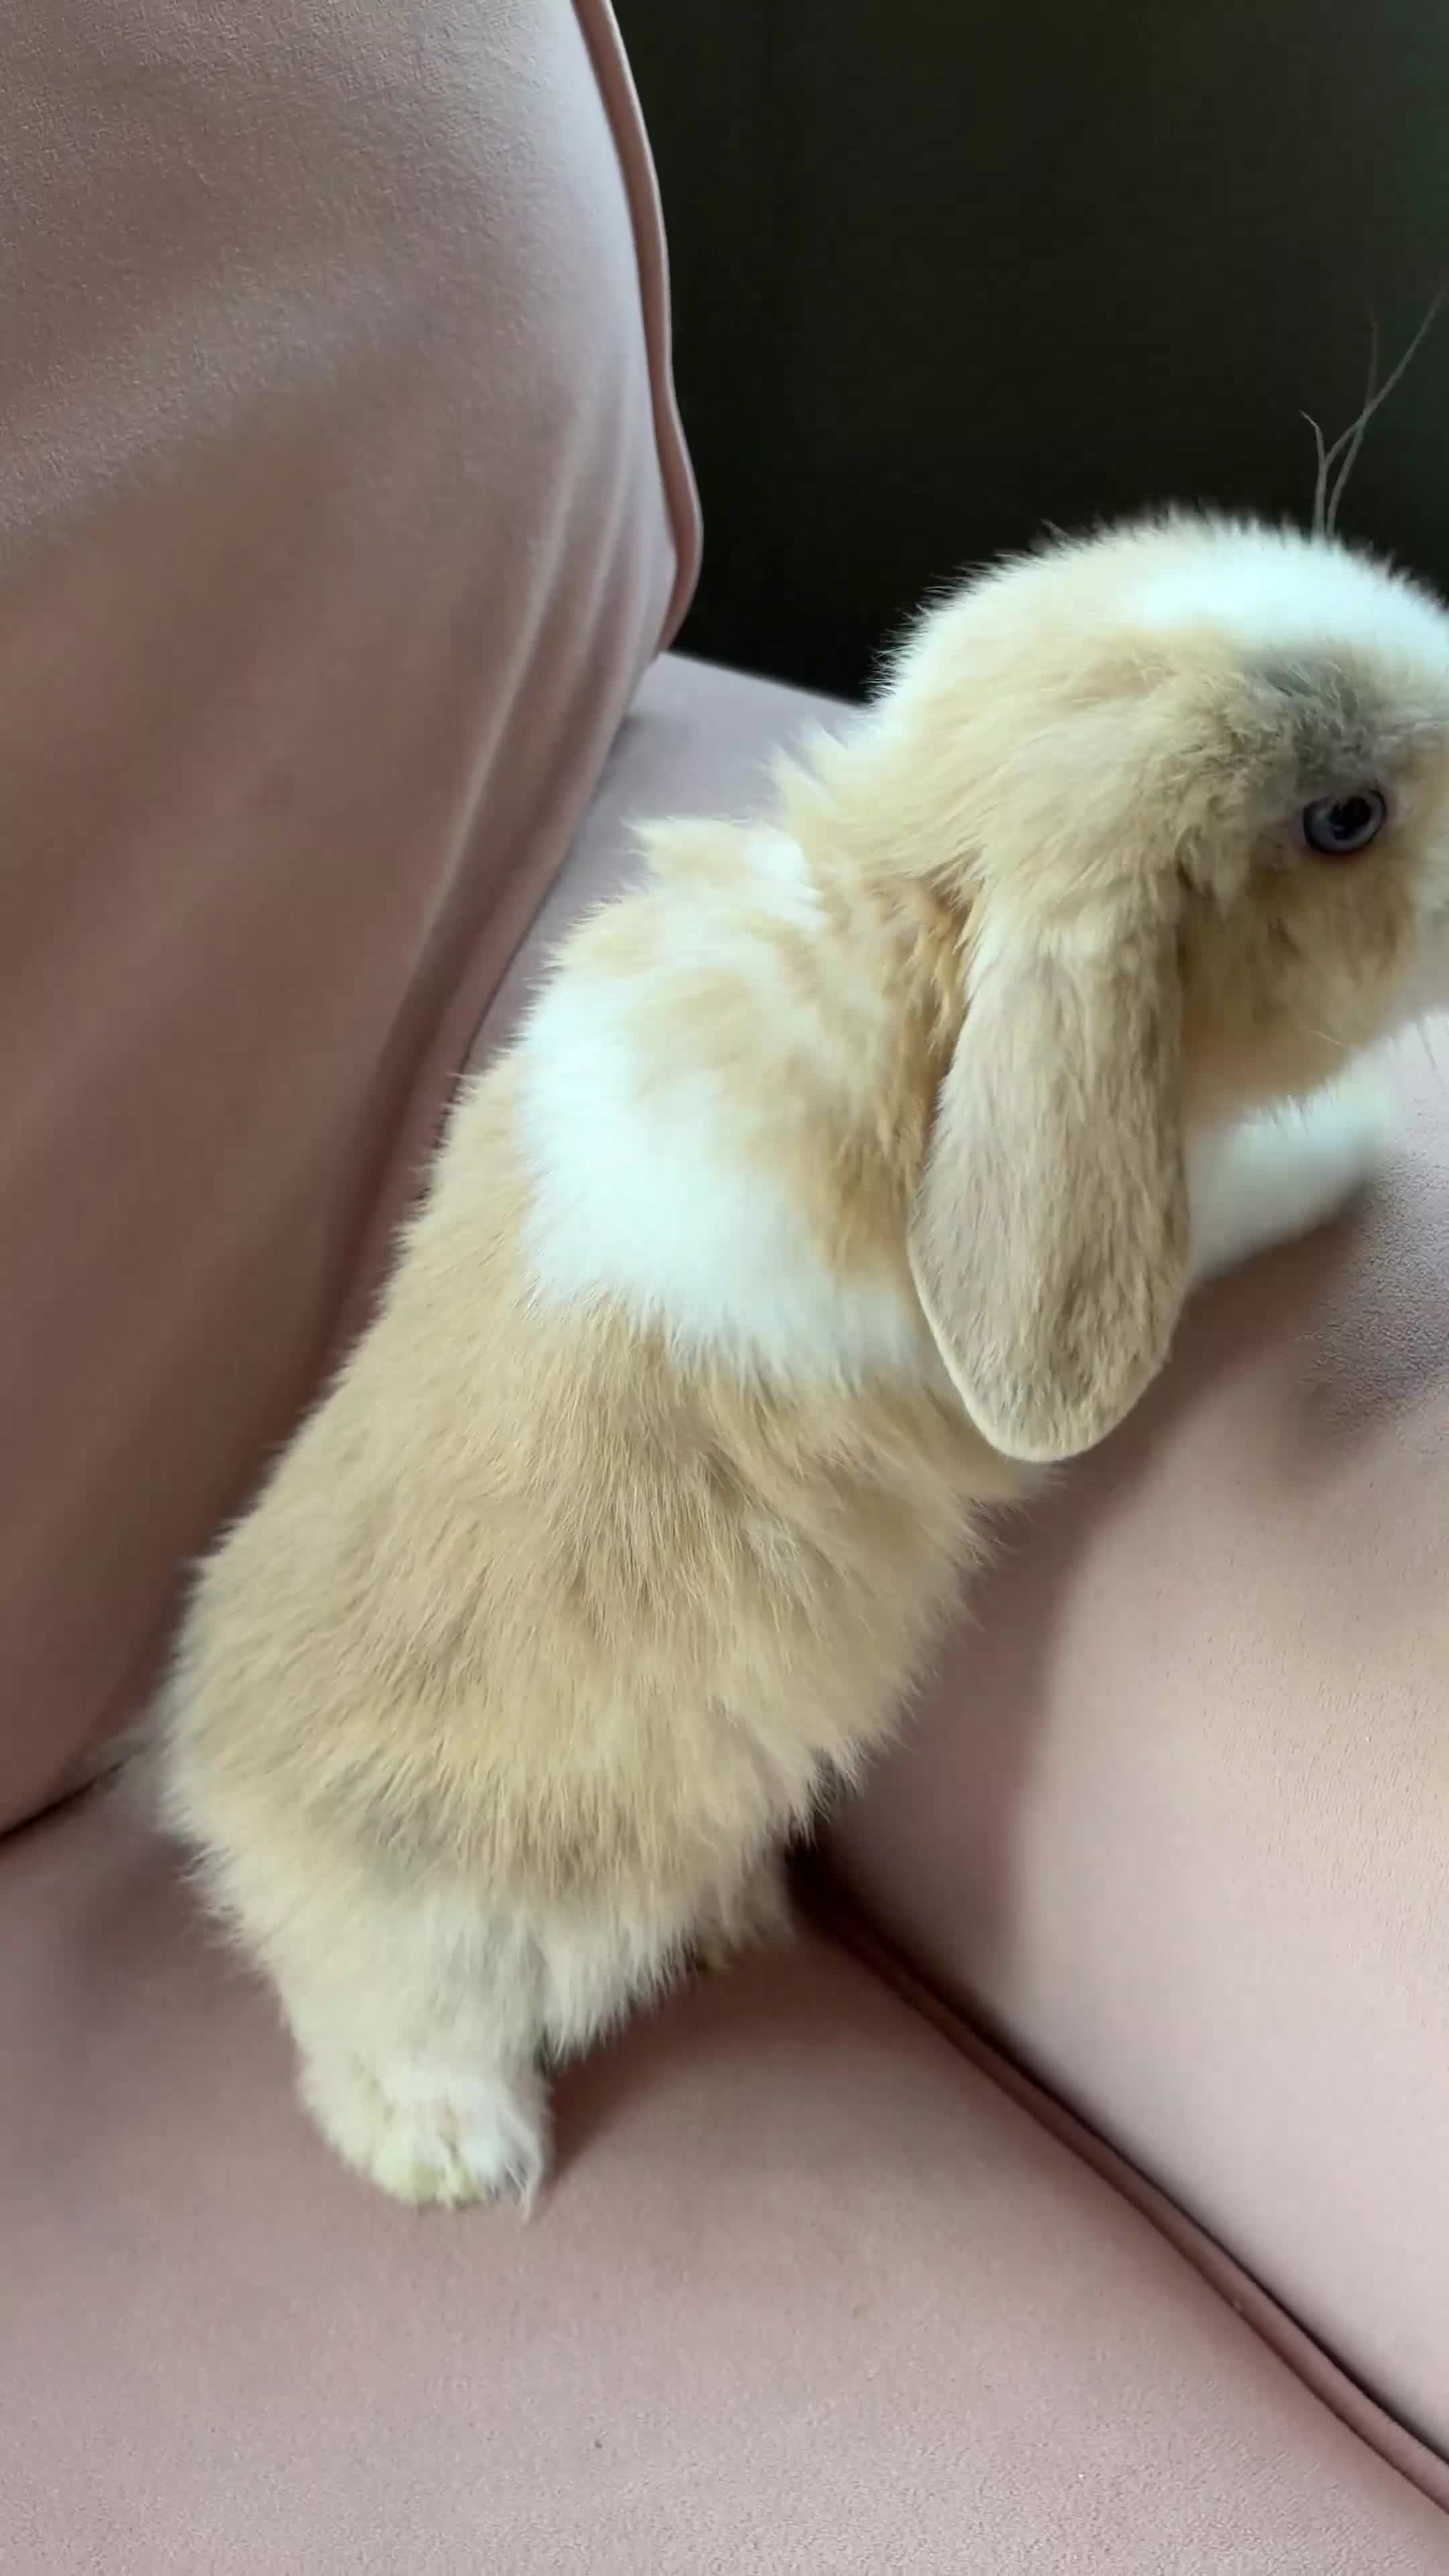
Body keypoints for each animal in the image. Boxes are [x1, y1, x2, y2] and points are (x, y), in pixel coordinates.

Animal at [158, 511, 1449, 2208]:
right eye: (1343, 819)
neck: (891, 938)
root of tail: (214, 1796)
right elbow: (1228, 1196)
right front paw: (1357, 1147)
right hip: (448, 1942)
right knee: (367, 2024)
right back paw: (457, 2151)